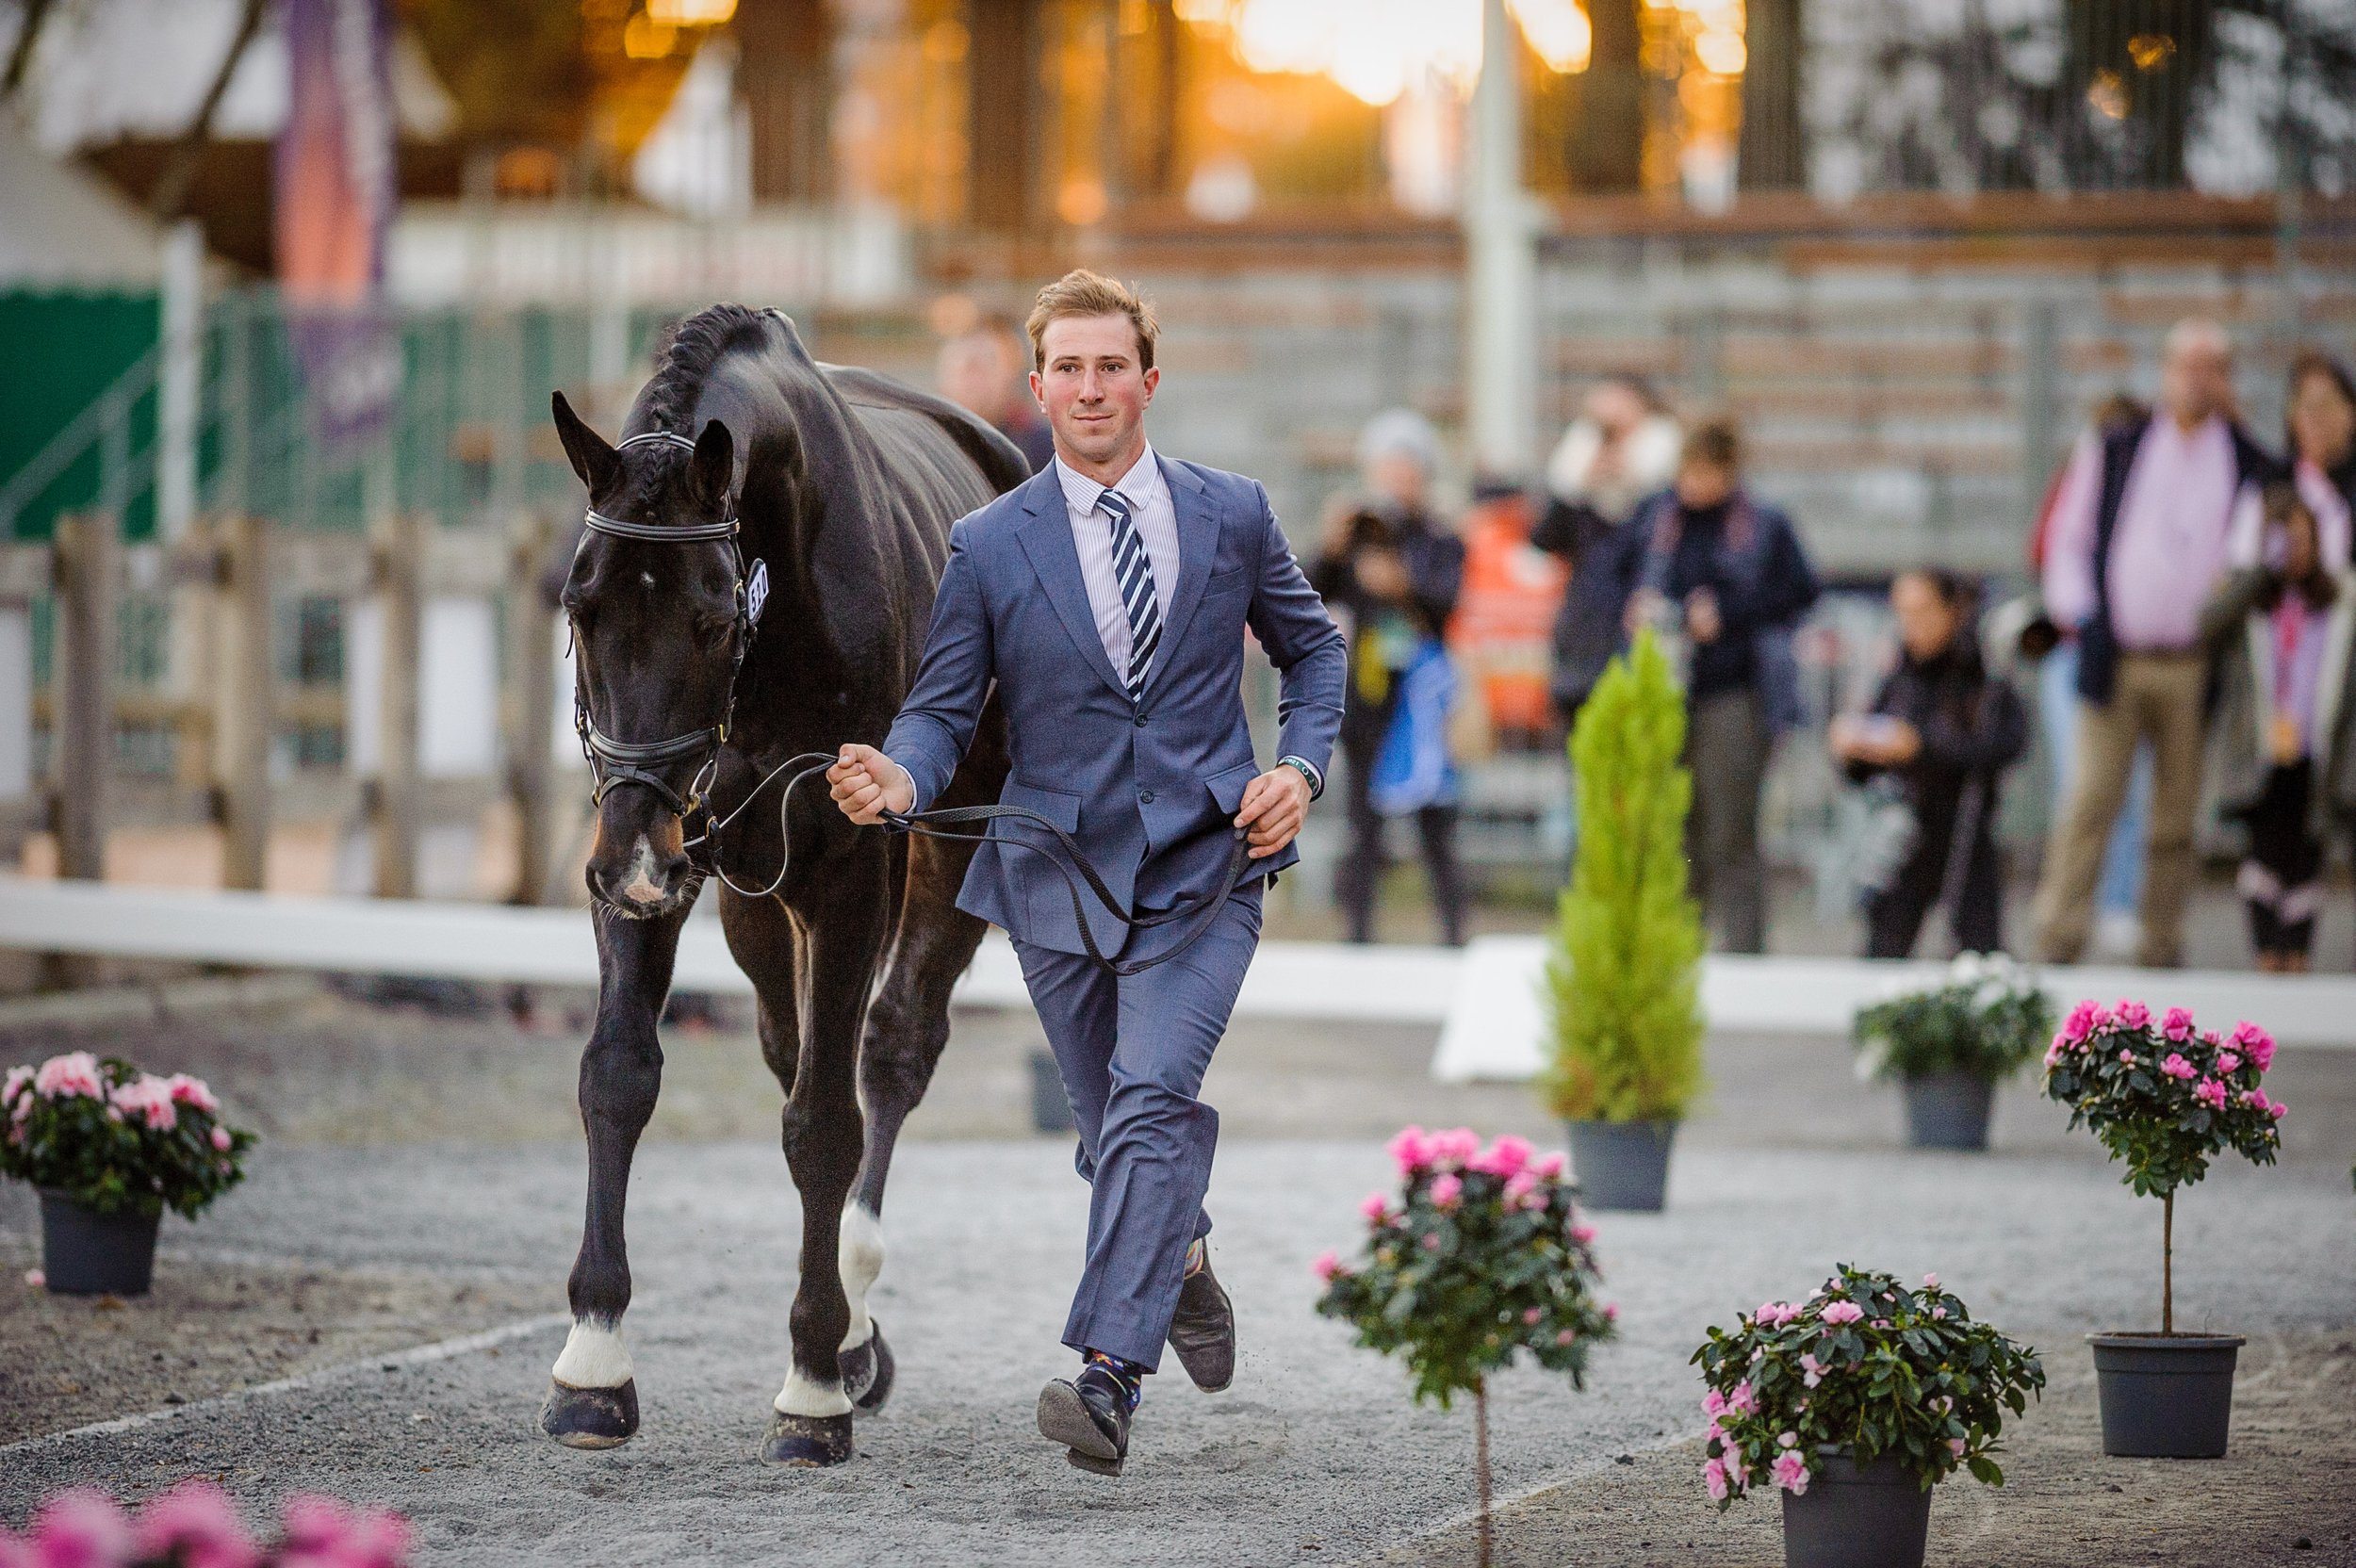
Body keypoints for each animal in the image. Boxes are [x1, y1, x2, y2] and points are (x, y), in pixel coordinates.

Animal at [541, 303, 1025, 1466]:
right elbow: (617, 1076)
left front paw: (809, 1386)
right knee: (789, 1039)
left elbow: (825, 1123)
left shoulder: (852, 868)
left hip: (943, 856)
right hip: (751, 901)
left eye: (715, 617)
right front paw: (593, 1363)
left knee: (886, 1053)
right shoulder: (653, 856)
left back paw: (845, 1330)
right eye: (580, 607)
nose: (636, 860)